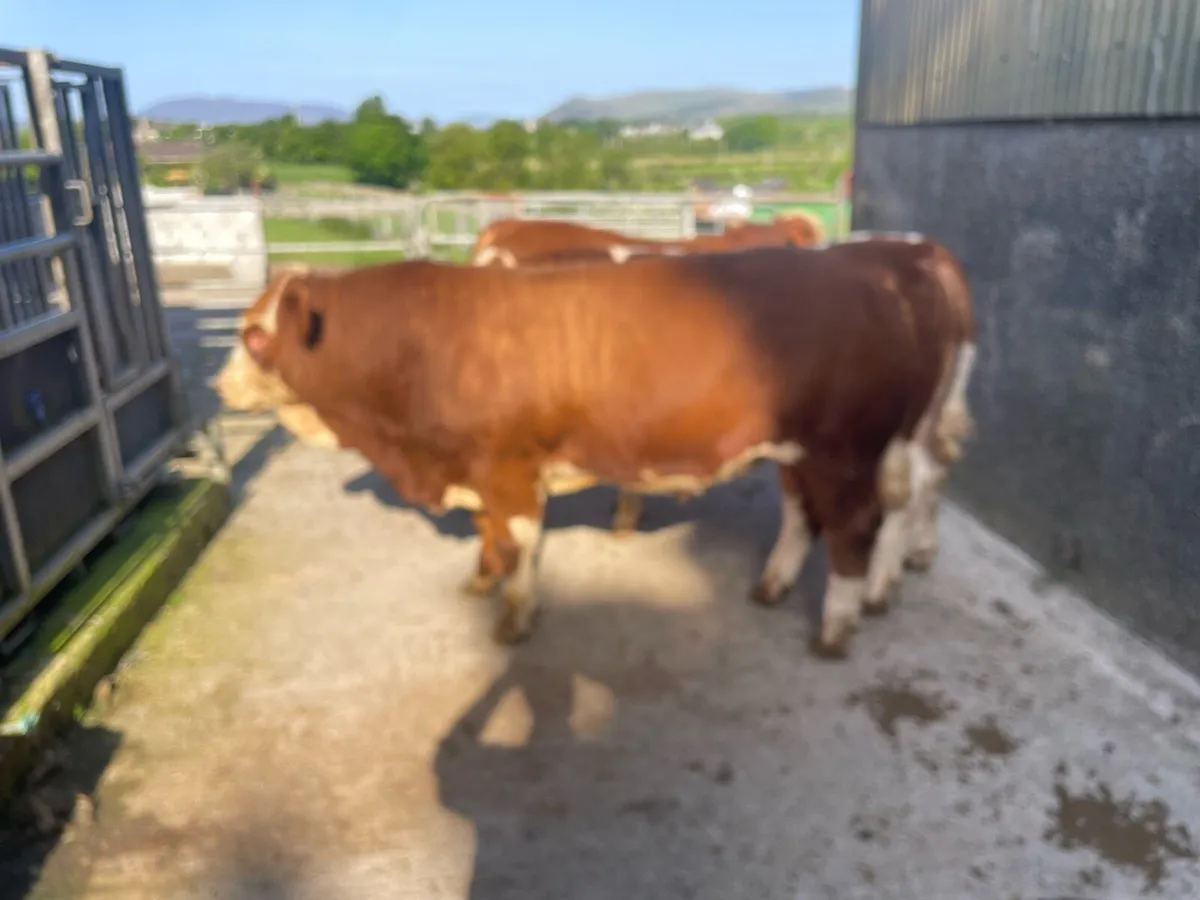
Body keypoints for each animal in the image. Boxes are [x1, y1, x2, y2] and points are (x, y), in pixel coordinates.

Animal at [215, 240, 970, 657]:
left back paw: (840, 621)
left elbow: (518, 541)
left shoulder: (508, 467)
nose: (219, 386)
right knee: (802, 515)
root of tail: (879, 268)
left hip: (849, 451)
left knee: (860, 526)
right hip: (799, 452)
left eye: (255, 334)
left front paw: (515, 616)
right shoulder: (478, 467)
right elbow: (487, 533)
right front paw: (479, 581)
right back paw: (773, 585)